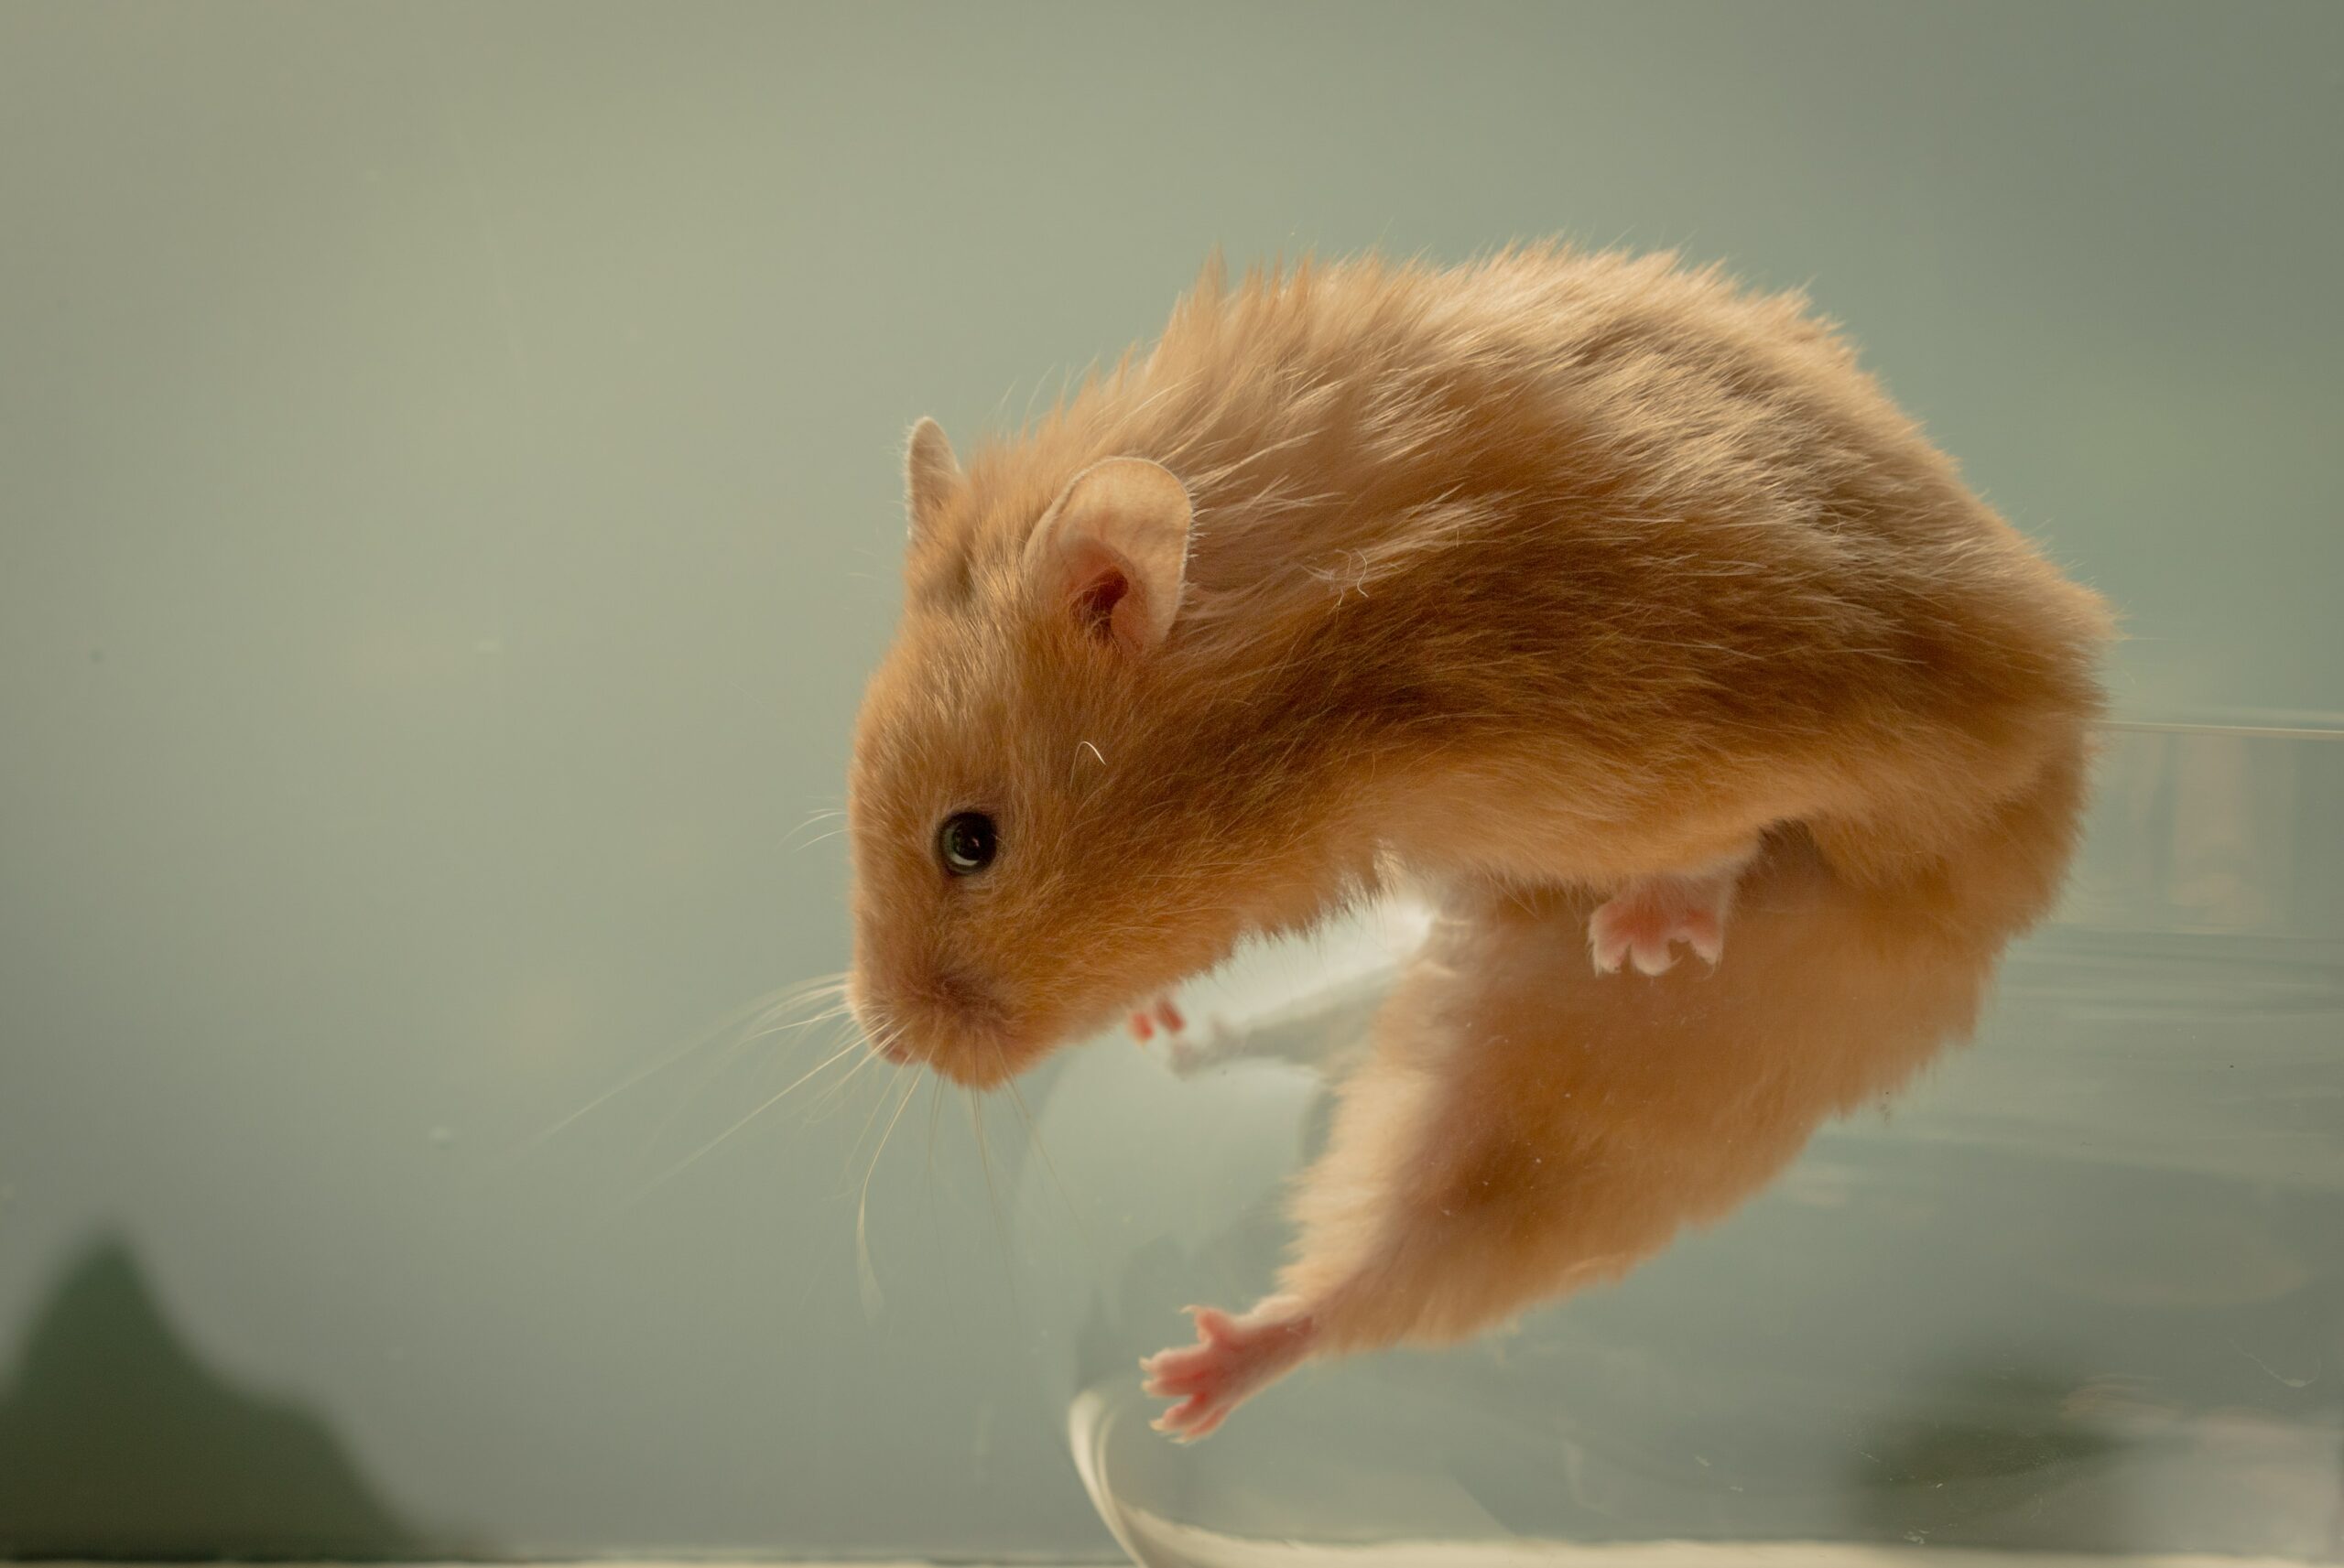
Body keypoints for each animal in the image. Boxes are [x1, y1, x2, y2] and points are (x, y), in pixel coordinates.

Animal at [842, 246, 2111, 1436]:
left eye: (969, 842)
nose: (889, 1043)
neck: (1328, 704)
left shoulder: (1704, 739)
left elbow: (1732, 833)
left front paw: (1646, 936)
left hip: (1632, 1070)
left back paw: (1194, 1376)